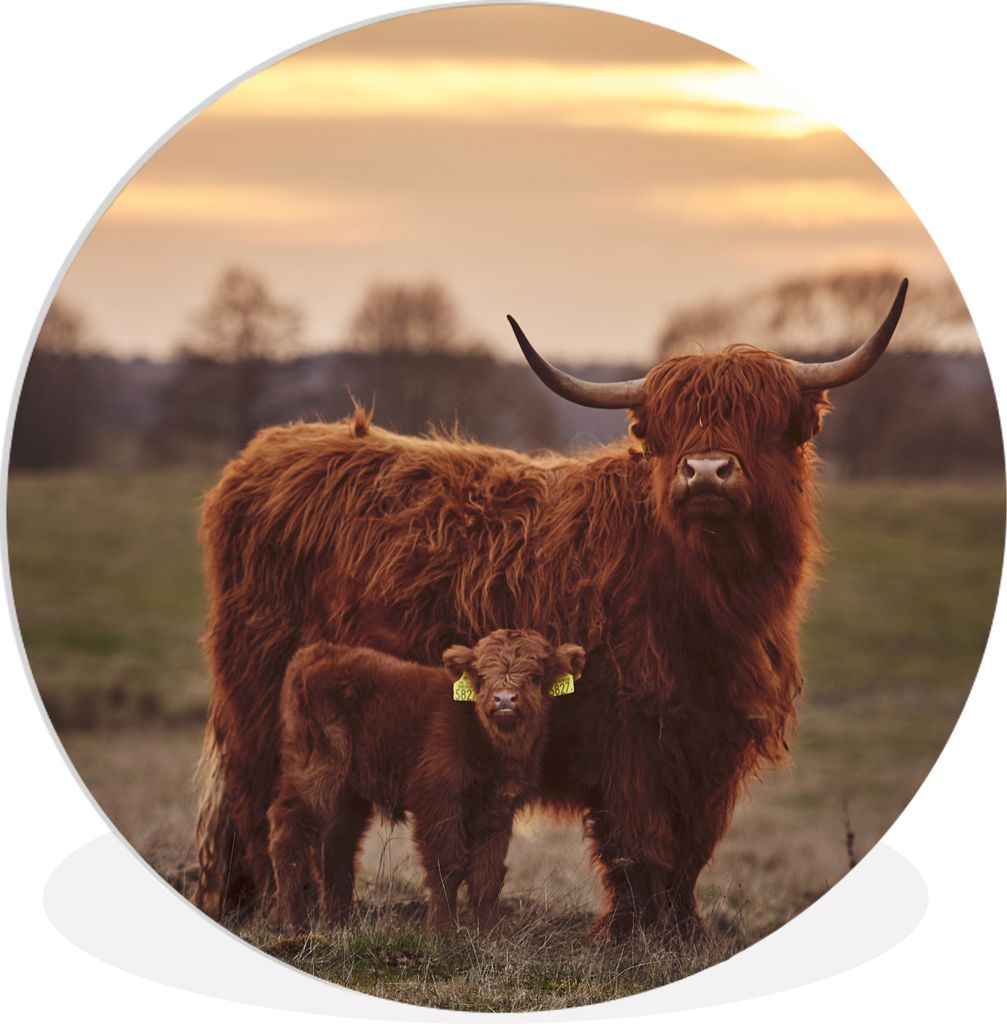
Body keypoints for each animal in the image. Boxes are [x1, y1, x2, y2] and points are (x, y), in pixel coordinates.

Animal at [267, 630, 585, 933]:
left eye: (535, 675)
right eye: (482, 676)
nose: (505, 699)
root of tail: (317, 653)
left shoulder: (499, 807)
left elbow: (488, 874)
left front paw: (491, 932)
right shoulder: (438, 799)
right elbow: (448, 865)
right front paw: (441, 930)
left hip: (348, 792)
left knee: (337, 844)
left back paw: (340, 921)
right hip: (316, 769)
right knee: (289, 831)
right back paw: (292, 922)